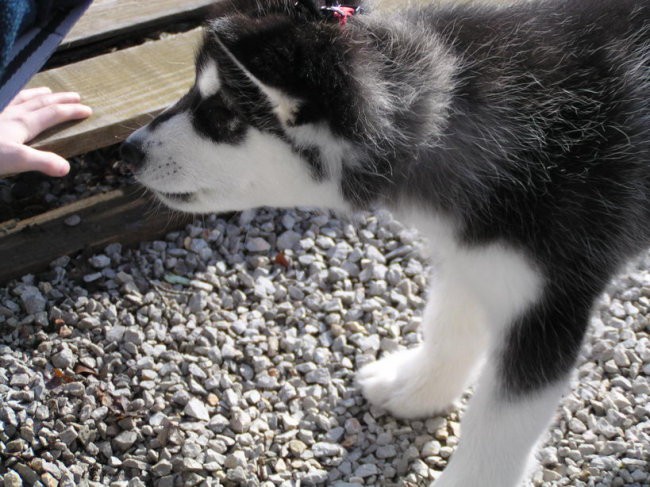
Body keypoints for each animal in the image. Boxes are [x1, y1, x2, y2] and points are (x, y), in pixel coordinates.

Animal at [120, 0, 644, 484]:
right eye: (196, 90)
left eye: (223, 114)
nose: (128, 151)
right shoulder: (476, 253)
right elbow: (450, 325)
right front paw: (418, 386)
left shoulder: (550, 302)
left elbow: (499, 421)